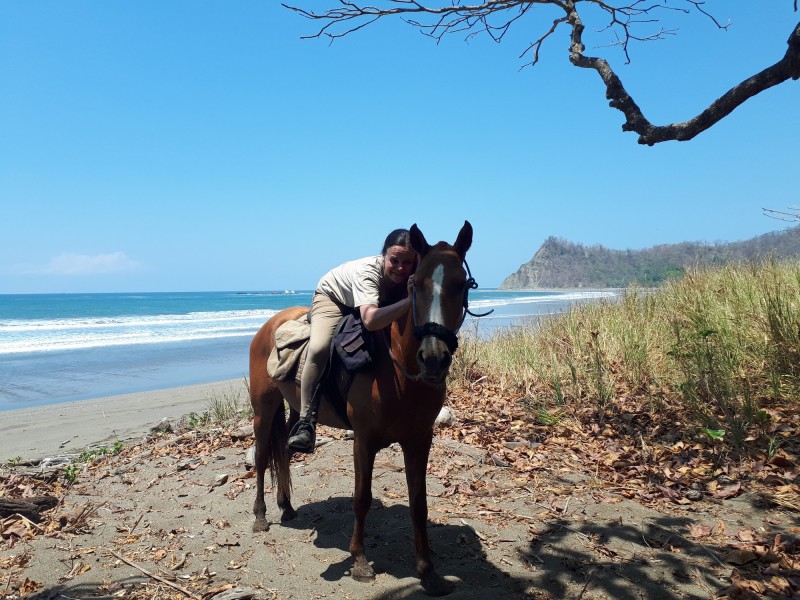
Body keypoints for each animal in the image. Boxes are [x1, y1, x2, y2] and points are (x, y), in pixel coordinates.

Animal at [250, 221, 476, 596]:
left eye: (461, 283)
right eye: (416, 283)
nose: (433, 358)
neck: (398, 371)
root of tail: (271, 324)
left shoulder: (419, 440)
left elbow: (419, 503)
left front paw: (428, 571)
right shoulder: (364, 441)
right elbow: (362, 498)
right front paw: (359, 561)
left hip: (293, 407)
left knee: (282, 449)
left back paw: (287, 506)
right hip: (263, 408)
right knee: (260, 456)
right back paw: (260, 516)